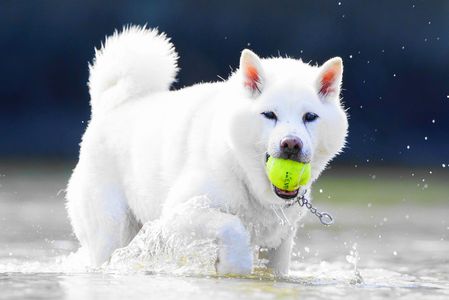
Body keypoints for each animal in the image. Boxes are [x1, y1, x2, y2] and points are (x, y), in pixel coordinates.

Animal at [65, 24, 346, 276]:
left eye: (310, 117)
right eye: (269, 115)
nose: (291, 144)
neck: (242, 171)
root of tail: (111, 107)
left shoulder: (279, 241)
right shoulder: (178, 213)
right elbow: (233, 226)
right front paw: (233, 264)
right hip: (111, 231)